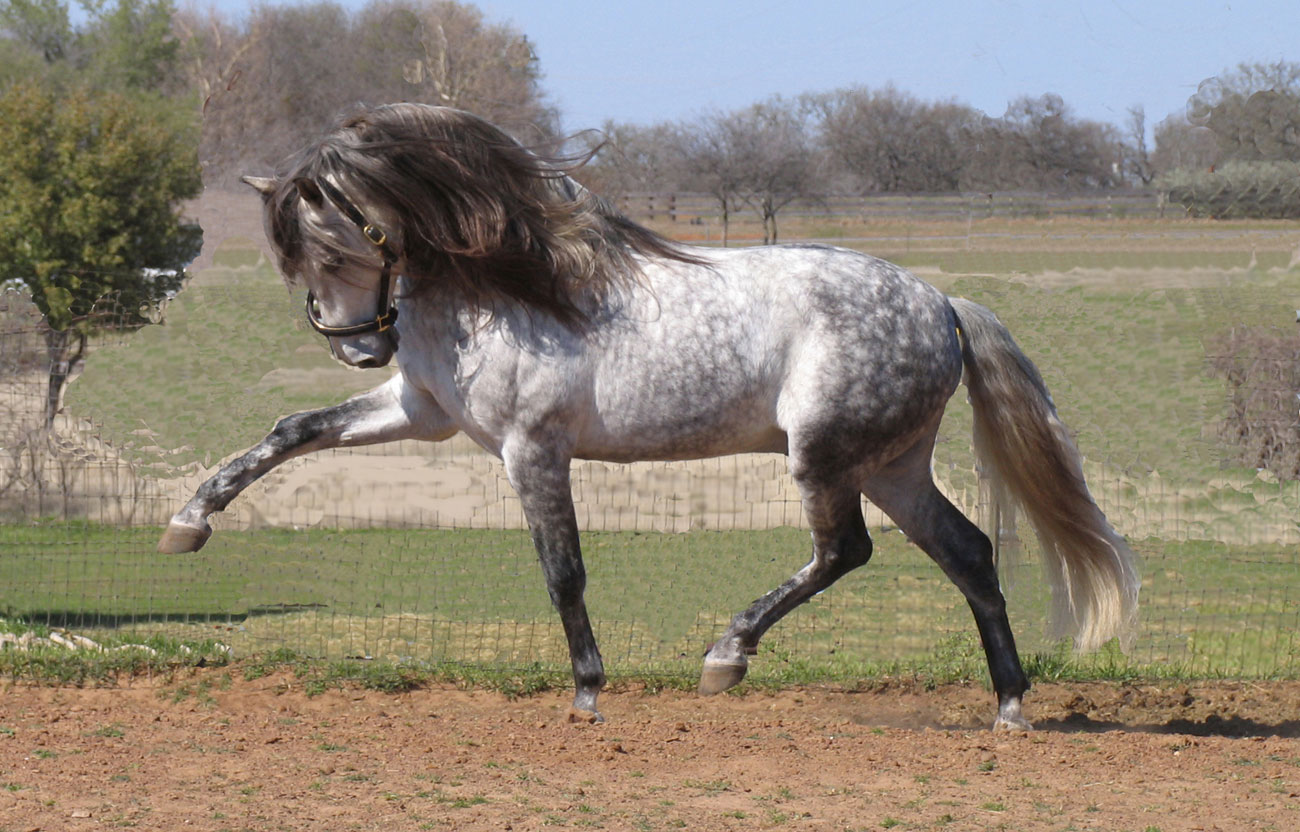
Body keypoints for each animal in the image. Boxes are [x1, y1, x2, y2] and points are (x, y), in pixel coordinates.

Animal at [159, 102, 1138, 728]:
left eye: (336, 245)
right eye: (296, 259)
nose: (359, 348)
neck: (504, 286)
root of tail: (940, 303)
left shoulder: (531, 449)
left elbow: (563, 571)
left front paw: (589, 691)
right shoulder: (420, 410)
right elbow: (292, 431)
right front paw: (188, 523)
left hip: (825, 457)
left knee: (845, 551)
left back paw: (726, 656)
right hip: (891, 465)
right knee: (966, 551)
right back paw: (1009, 705)